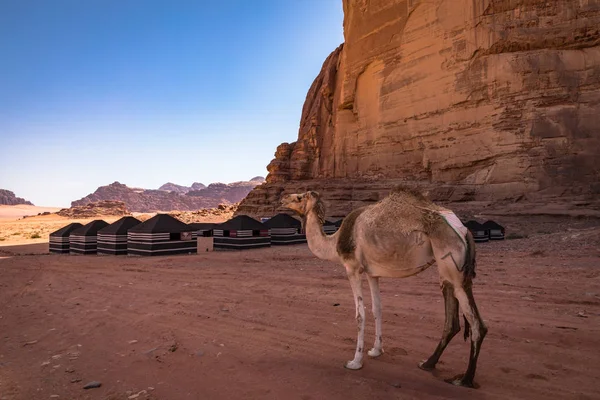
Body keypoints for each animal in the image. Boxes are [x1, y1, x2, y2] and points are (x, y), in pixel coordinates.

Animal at [282, 188, 488, 388]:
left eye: (300, 197)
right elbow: (377, 309)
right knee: (452, 320)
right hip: (449, 273)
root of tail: (464, 230)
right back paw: (428, 364)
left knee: (477, 324)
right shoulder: (372, 274)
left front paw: (355, 362)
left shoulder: (352, 268)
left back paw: (465, 379)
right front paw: (376, 350)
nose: (283, 198)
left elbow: (360, 315)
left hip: (451, 262)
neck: (334, 242)